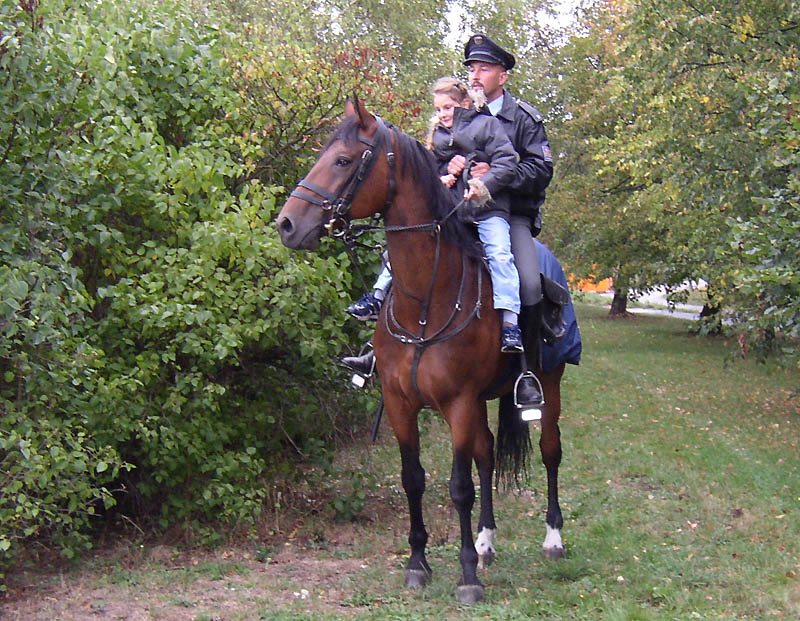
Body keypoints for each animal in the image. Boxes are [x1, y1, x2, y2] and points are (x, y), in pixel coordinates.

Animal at [276, 98, 570, 604]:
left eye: (343, 160)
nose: (287, 224)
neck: (427, 302)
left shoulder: (458, 404)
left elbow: (459, 487)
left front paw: (467, 577)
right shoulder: (401, 403)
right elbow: (413, 479)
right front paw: (418, 562)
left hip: (547, 384)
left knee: (549, 451)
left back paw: (552, 539)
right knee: (488, 454)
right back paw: (486, 541)